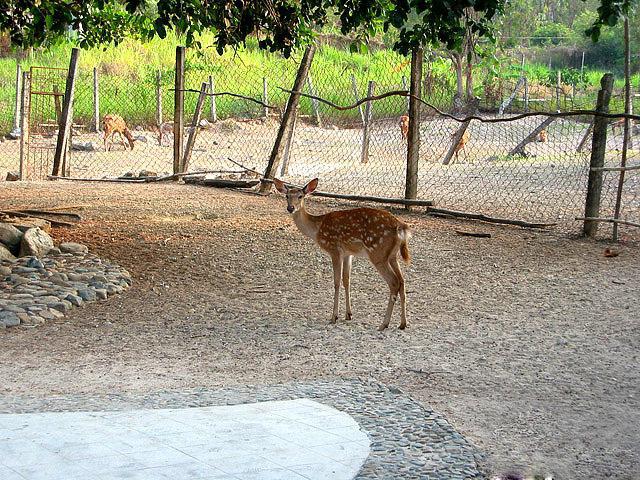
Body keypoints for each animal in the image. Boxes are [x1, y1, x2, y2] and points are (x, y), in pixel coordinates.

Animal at [272, 178, 412, 332]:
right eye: (286, 196)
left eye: (300, 196)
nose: (290, 208)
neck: (317, 229)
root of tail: (401, 227)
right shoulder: (347, 253)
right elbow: (347, 280)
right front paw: (348, 314)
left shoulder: (334, 249)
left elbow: (337, 281)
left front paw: (334, 317)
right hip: (392, 256)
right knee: (402, 281)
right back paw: (403, 323)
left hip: (378, 253)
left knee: (394, 282)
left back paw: (384, 324)